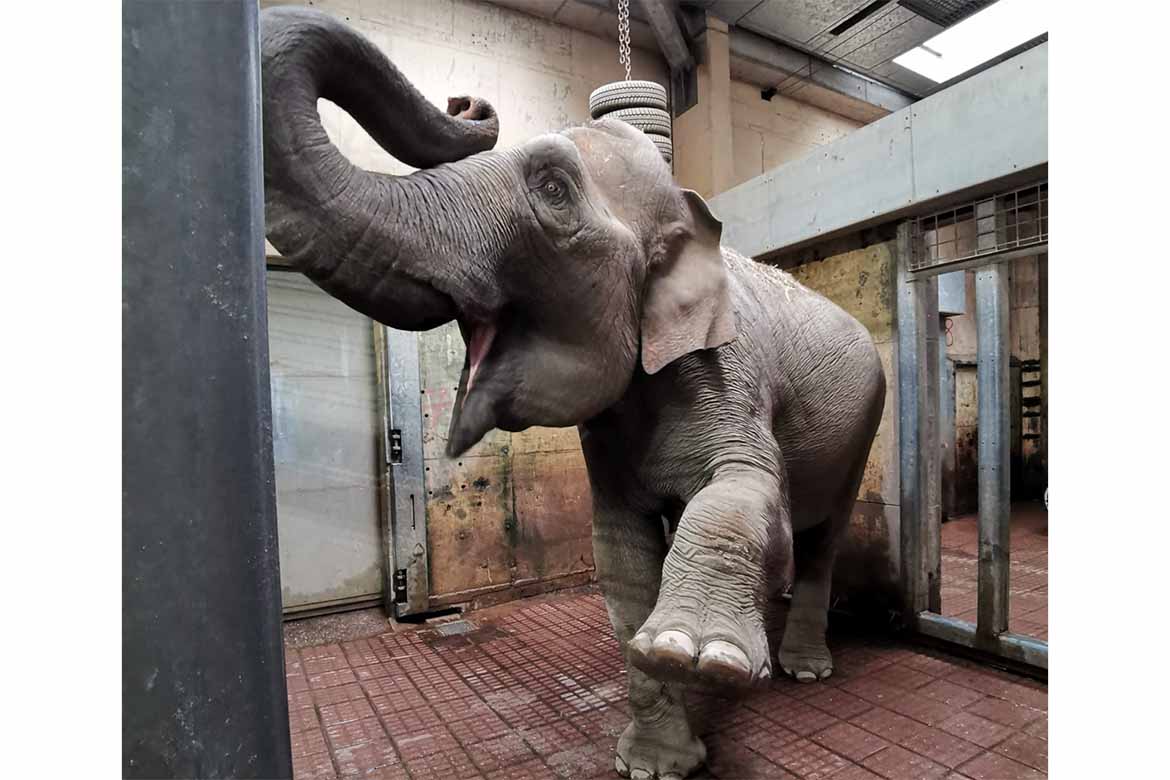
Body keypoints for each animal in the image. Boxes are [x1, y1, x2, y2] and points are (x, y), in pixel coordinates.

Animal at [263, 7, 884, 780]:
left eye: (554, 189)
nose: (464, 101)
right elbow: (620, 561)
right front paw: (654, 758)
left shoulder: (730, 373)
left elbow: (748, 485)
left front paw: (698, 654)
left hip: (868, 422)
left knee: (826, 533)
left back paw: (803, 668)